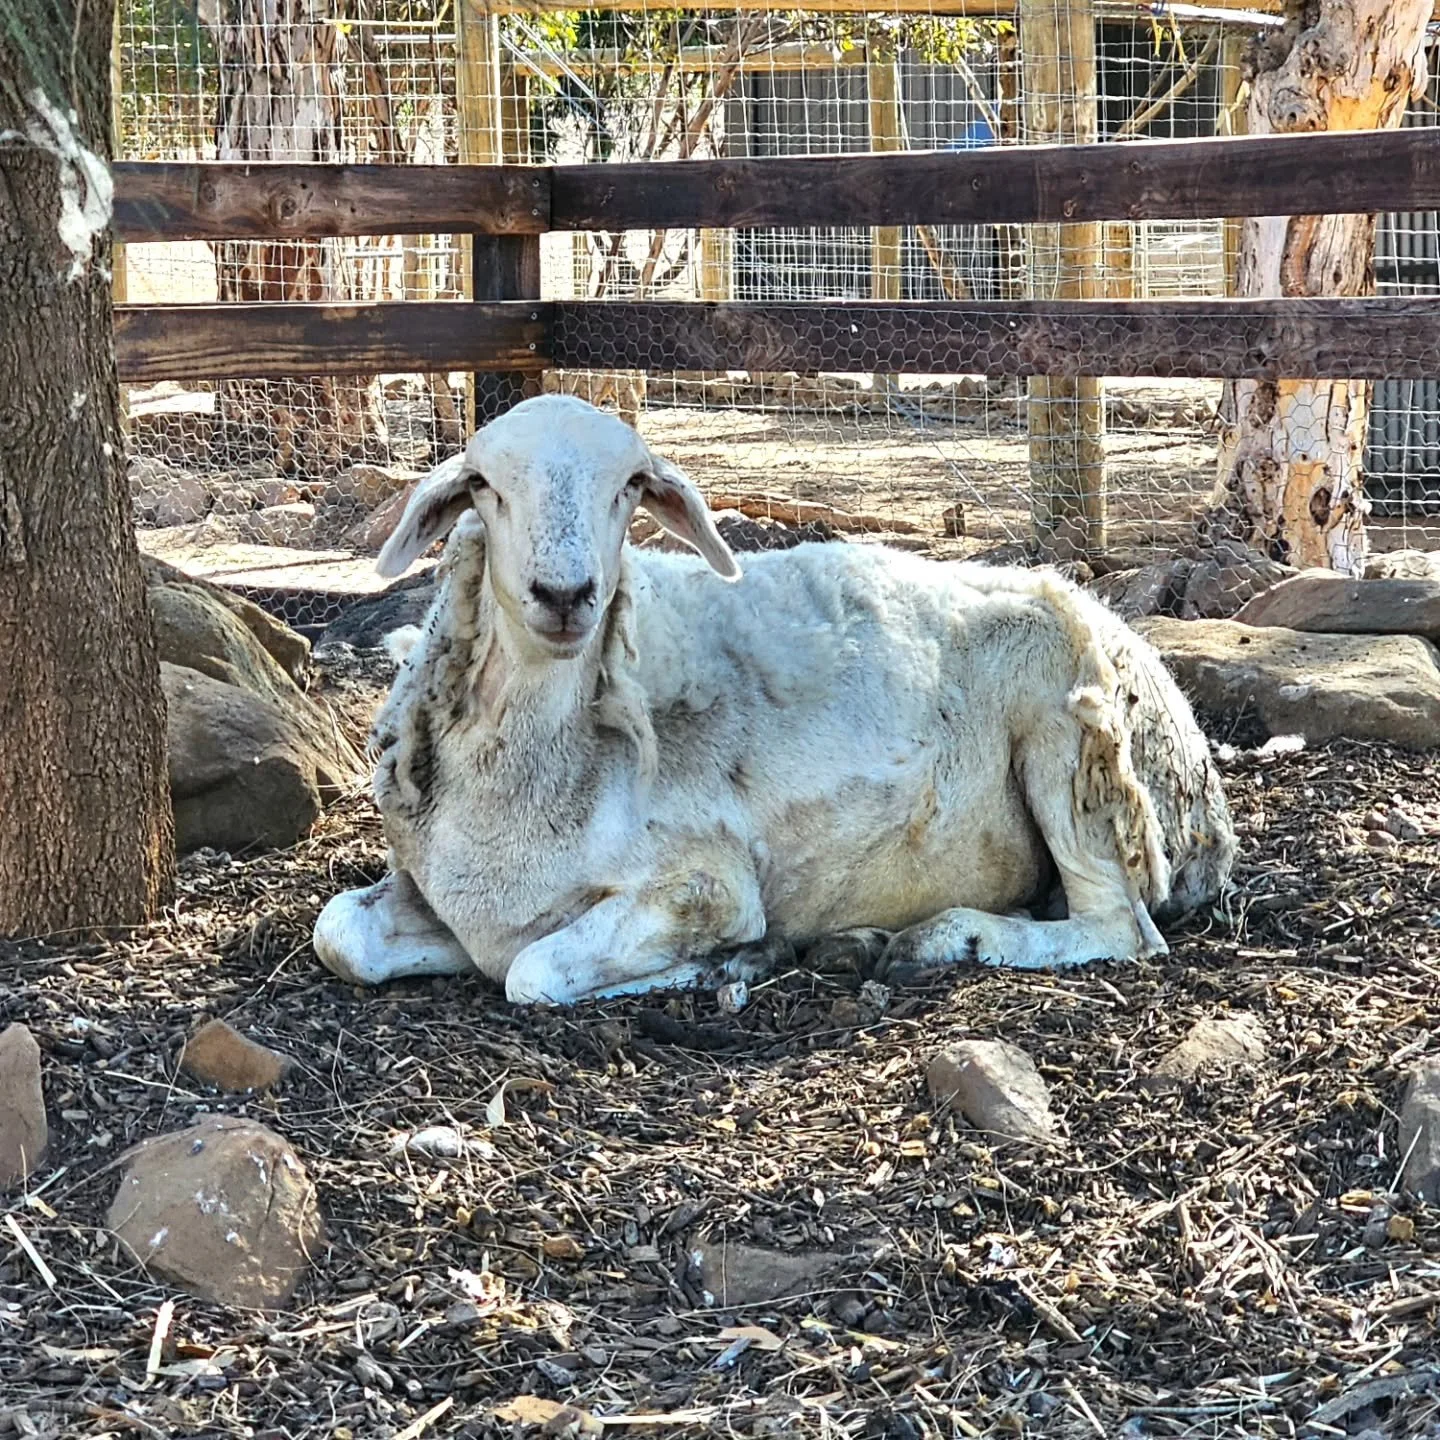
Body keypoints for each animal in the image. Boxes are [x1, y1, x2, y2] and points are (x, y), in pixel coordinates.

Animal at [313, 394, 1235, 1005]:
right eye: (482, 484)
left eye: (630, 485)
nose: (565, 593)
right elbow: (338, 934)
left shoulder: (705, 881)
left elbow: (531, 973)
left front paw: (727, 964)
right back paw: (864, 941)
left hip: (1066, 735)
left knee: (1119, 927)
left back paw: (946, 937)